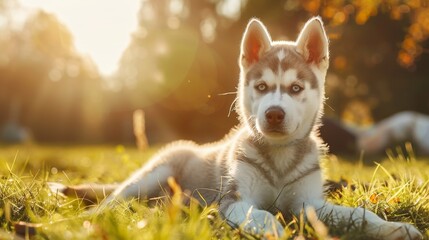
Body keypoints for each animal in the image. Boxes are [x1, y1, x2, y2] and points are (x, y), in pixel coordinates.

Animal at [61, 17, 420, 240]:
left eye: (295, 89)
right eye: (261, 87)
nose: (273, 114)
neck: (279, 159)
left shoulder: (309, 204)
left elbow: (358, 214)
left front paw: (394, 228)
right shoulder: (235, 200)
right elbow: (264, 216)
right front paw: (279, 231)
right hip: (151, 176)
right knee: (113, 200)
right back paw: (88, 220)